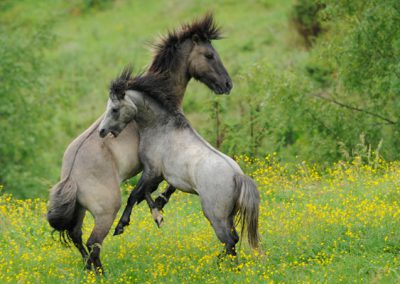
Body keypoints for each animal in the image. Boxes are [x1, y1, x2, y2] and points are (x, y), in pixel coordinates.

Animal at [47, 13, 233, 272]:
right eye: (209, 55)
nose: (227, 84)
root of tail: (70, 175)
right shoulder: (159, 162)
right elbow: (158, 187)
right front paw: (157, 209)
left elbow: (144, 191)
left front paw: (156, 211)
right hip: (105, 212)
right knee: (93, 242)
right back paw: (101, 272)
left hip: (81, 210)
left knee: (76, 236)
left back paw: (90, 270)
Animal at [97, 68, 260, 258]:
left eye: (114, 109)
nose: (101, 131)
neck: (162, 128)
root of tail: (237, 176)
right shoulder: (159, 175)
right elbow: (145, 193)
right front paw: (157, 212)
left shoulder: (151, 170)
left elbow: (134, 195)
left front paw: (122, 226)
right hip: (228, 217)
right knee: (232, 241)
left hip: (216, 217)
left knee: (229, 241)